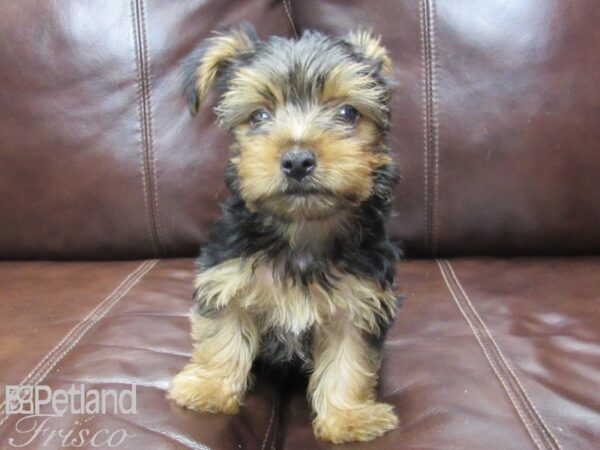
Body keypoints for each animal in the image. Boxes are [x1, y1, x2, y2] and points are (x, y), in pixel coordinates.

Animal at [169, 24, 400, 442]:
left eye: (348, 113)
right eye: (258, 116)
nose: (297, 160)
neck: (301, 229)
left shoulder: (359, 300)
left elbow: (350, 359)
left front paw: (349, 417)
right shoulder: (227, 276)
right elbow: (221, 334)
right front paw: (209, 389)